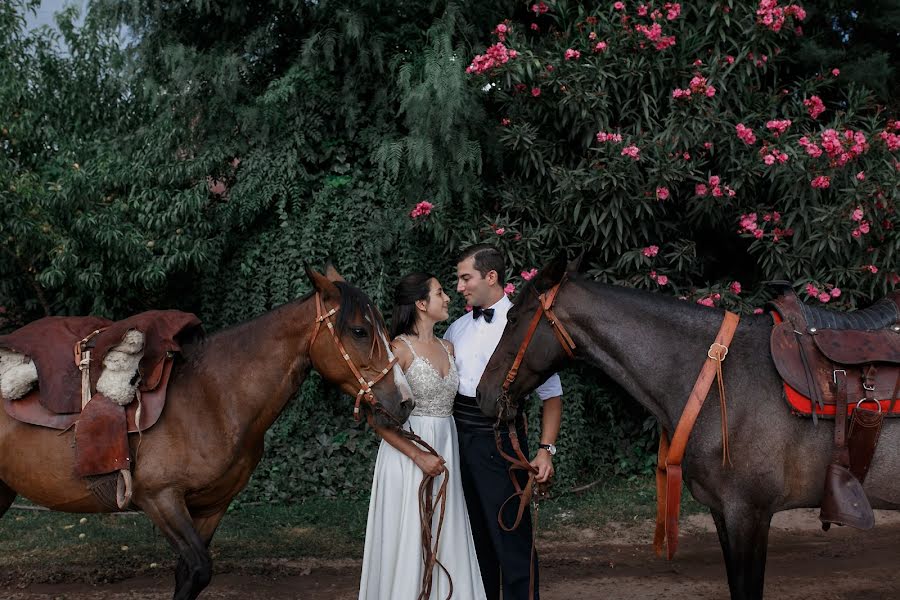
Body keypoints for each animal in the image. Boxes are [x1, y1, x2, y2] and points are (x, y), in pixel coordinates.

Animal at [0, 266, 414, 600]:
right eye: (359, 330)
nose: (404, 400)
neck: (210, 398)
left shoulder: (212, 506)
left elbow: (189, 575)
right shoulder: (160, 498)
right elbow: (199, 569)